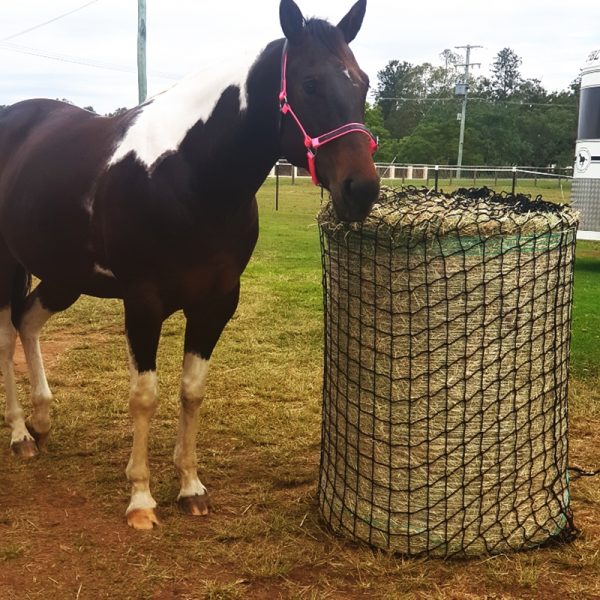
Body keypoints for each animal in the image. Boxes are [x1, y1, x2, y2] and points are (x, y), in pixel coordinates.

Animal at [0, 0, 380, 528]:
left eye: (361, 83)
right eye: (309, 83)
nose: (360, 190)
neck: (186, 175)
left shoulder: (216, 302)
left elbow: (192, 391)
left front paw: (190, 486)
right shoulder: (143, 303)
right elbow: (145, 395)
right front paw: (141, 498)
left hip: (63, 274)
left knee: (28, 320)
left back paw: (40, 420)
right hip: (8, 265)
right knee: (7, 333)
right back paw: (19, 434)